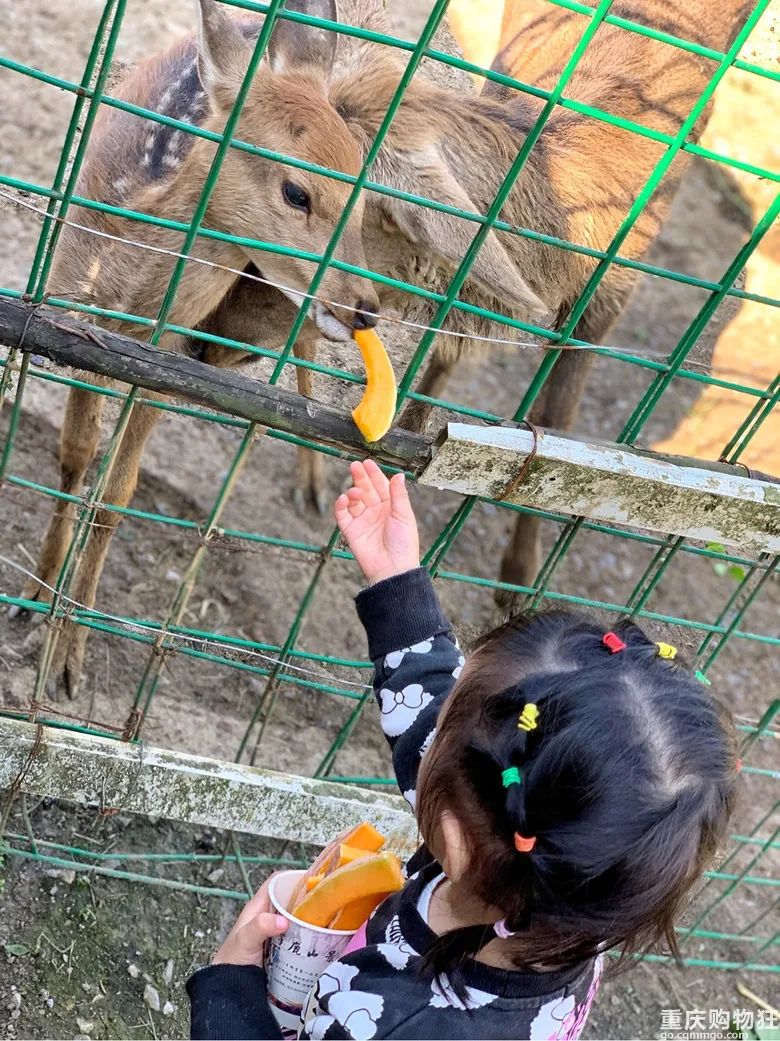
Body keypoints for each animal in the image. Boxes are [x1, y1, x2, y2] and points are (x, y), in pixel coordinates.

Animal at [16, 0, 749, 699]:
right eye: (296, 191)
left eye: (367, 198)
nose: (363, 305)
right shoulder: (79, 314)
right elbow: (74, 457)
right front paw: (31, 609)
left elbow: (117, 492)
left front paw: (65, 657)